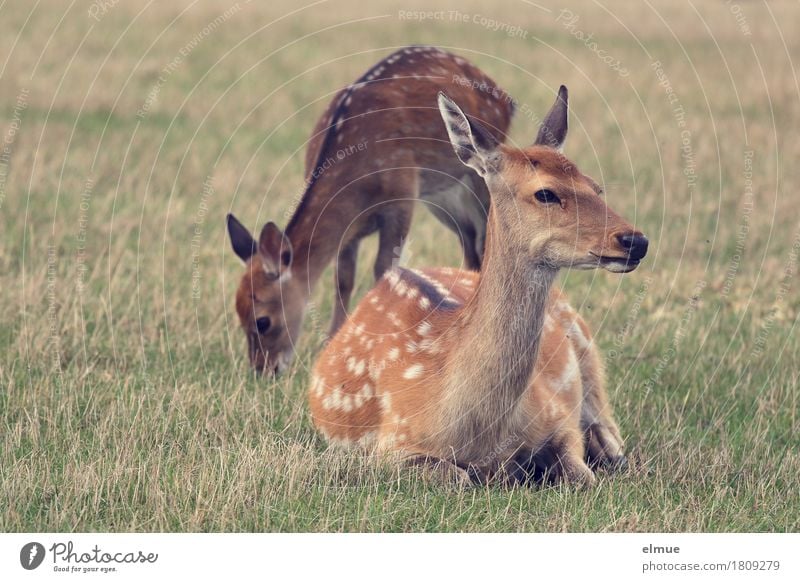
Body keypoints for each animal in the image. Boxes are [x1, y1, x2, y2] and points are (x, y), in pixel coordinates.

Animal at [225, 44, 512, 374]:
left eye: (262, 321)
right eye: (238, 315)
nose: (263, 370)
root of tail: (502, 95)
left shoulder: (402, 196)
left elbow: (383, 270)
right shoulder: (349, 230)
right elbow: (343, 278)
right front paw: (332, 344)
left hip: (477, 179)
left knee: (485, 242)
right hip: (444, 197)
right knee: (471, 245)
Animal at [308, 88, 648, 488]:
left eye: (596, 187)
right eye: (545, 193)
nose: (635, 240)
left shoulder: (558, 415)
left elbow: (583, 475)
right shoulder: (392, 444)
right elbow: (460, 478)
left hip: (586, 345)